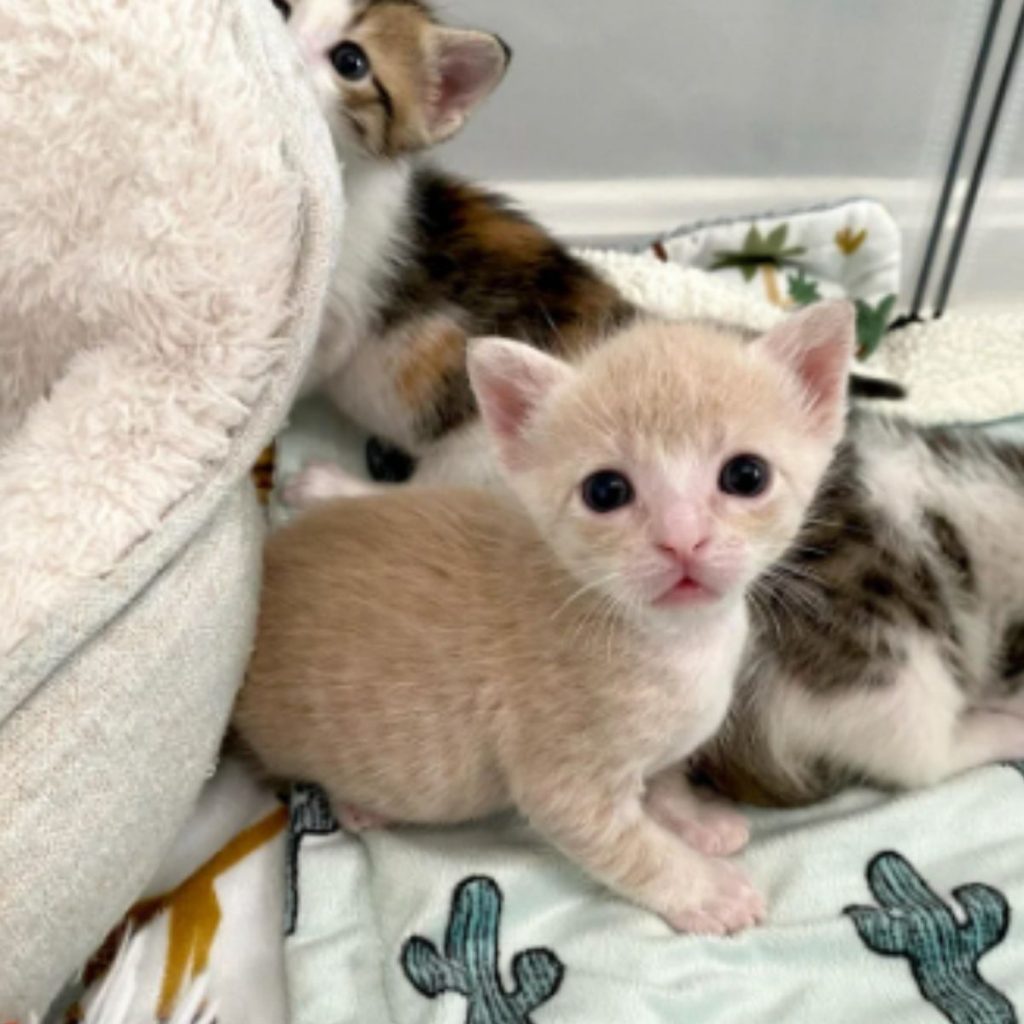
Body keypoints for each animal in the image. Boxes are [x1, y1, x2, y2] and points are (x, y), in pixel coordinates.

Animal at [234, 299, 856, 933]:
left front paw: (692, 817)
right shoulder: (562, 782)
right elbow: (636, 852)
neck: (679, 643)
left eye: (746, 475)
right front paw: (708, 891)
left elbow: (665, 775)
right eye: (606, 491)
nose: (682, 540)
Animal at [276, 0, 901, 487]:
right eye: (283, 7)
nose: (281, 38)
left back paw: (328, 488)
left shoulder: (341, 308)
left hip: (489, 449)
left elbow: (306, 364)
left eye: (350, 61)